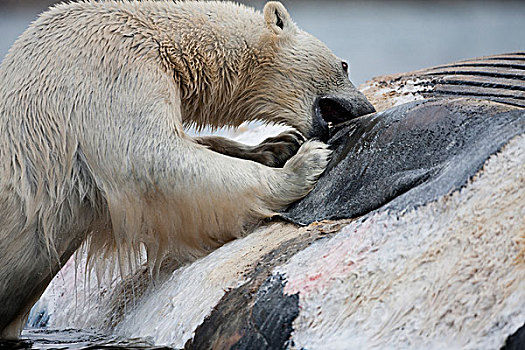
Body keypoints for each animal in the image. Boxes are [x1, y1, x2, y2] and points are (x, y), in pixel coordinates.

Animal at [0, 0, 372, 340]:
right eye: (344, 65)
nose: (366, 107)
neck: (159, 34)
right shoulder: (109, 70)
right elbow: (152, 158)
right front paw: (303, 164)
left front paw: (278, 145)